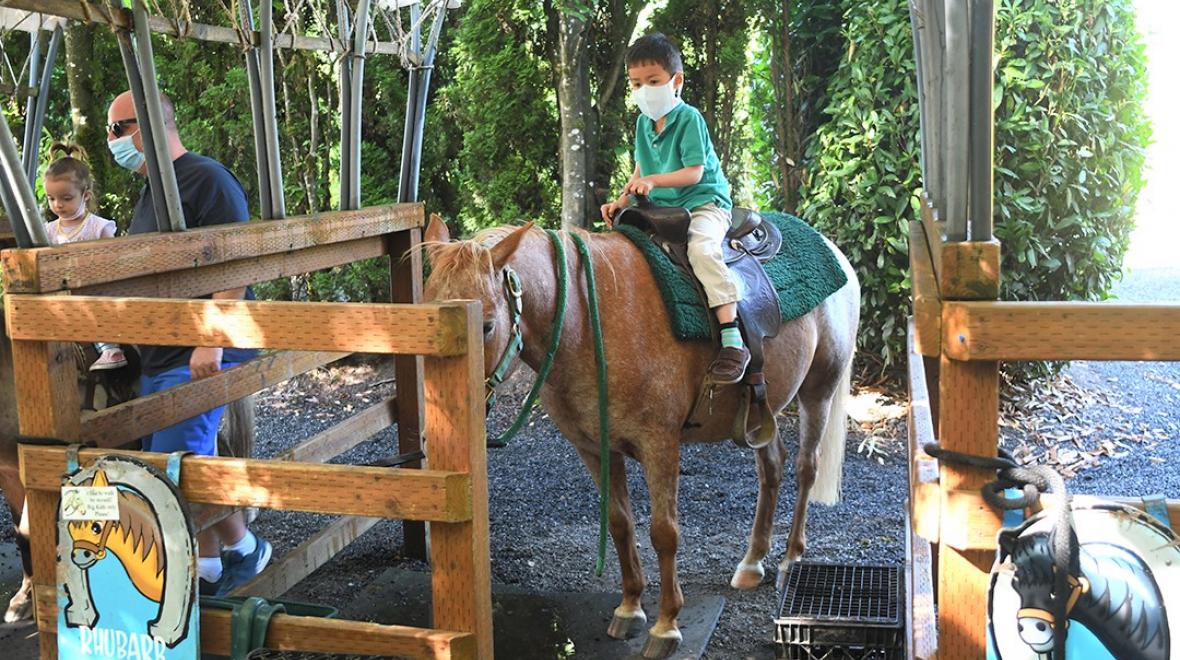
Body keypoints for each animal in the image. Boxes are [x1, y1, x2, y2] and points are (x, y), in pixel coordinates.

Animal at [424, 214, 859, 656]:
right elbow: (621, 523)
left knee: (806, 468)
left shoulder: (659, 445)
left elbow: (663, 533)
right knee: (771, 468)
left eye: (486, 325)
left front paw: (666, 626)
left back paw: (791, 559)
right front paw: (630, 608)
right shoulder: (595, 448)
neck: (586, 320)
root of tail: (833, 248)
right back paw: (752, 562)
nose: (443, 411)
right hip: (762, 410)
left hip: (818, 390)